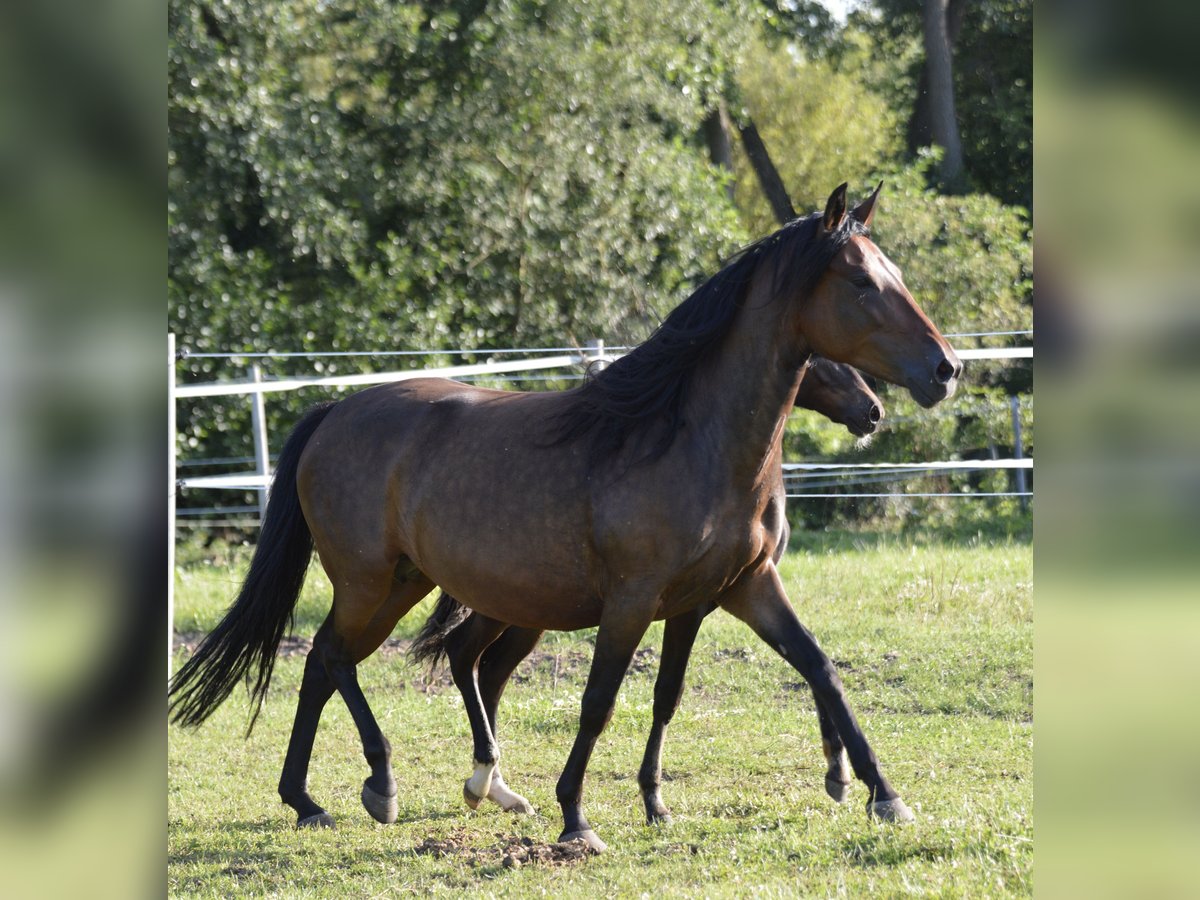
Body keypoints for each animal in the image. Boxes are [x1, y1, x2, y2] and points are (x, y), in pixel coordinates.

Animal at [408, 355, 888, 820]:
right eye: (818, 360)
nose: (871, 411)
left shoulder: (740, 592)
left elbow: (806, 663)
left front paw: (840, 771)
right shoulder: (693, 605)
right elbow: (666, 693)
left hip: (525, 613)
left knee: (489, 671)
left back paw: (499, 789)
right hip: (509, 607)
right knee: (466, 656)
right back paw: (486, 782)